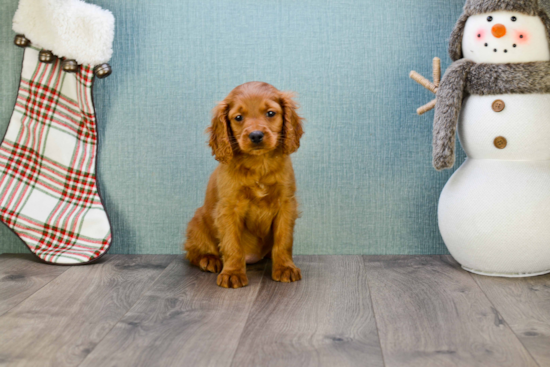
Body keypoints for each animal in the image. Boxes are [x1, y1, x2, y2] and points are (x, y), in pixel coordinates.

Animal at [185, 82, 306, 288]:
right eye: (238, 117)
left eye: (271, 113)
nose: (256, 135)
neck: (259, 164)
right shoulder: (229, 208)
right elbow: (232, 244)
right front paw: (232, 273)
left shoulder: (286, 204)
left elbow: (284, 240)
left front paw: (285, 267)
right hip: (197, 223)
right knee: (194, 252)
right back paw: (209, 259)